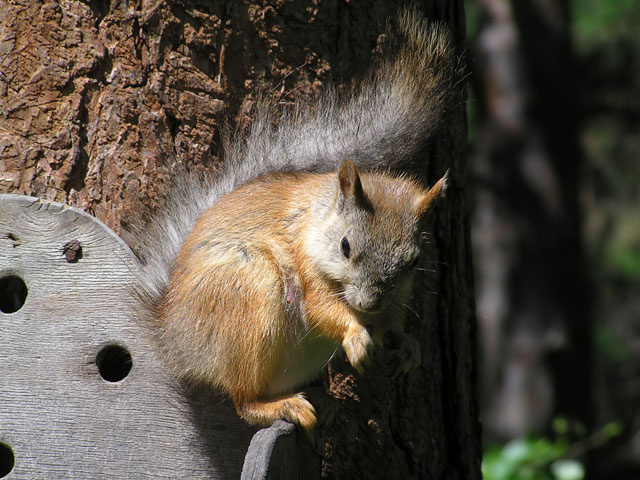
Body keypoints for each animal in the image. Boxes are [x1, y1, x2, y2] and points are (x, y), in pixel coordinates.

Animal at [135, 11, 461, 431]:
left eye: (414, 262)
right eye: (345, 246)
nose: (368, 304)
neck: (318, 220)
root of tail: (174, 339)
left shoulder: (397, 295)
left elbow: (392, 323)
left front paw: (407, 345)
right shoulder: (307, 268)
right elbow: (321, 309)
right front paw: (356, 335)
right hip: (249, 295)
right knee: (243, 399)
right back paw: (282, 406)